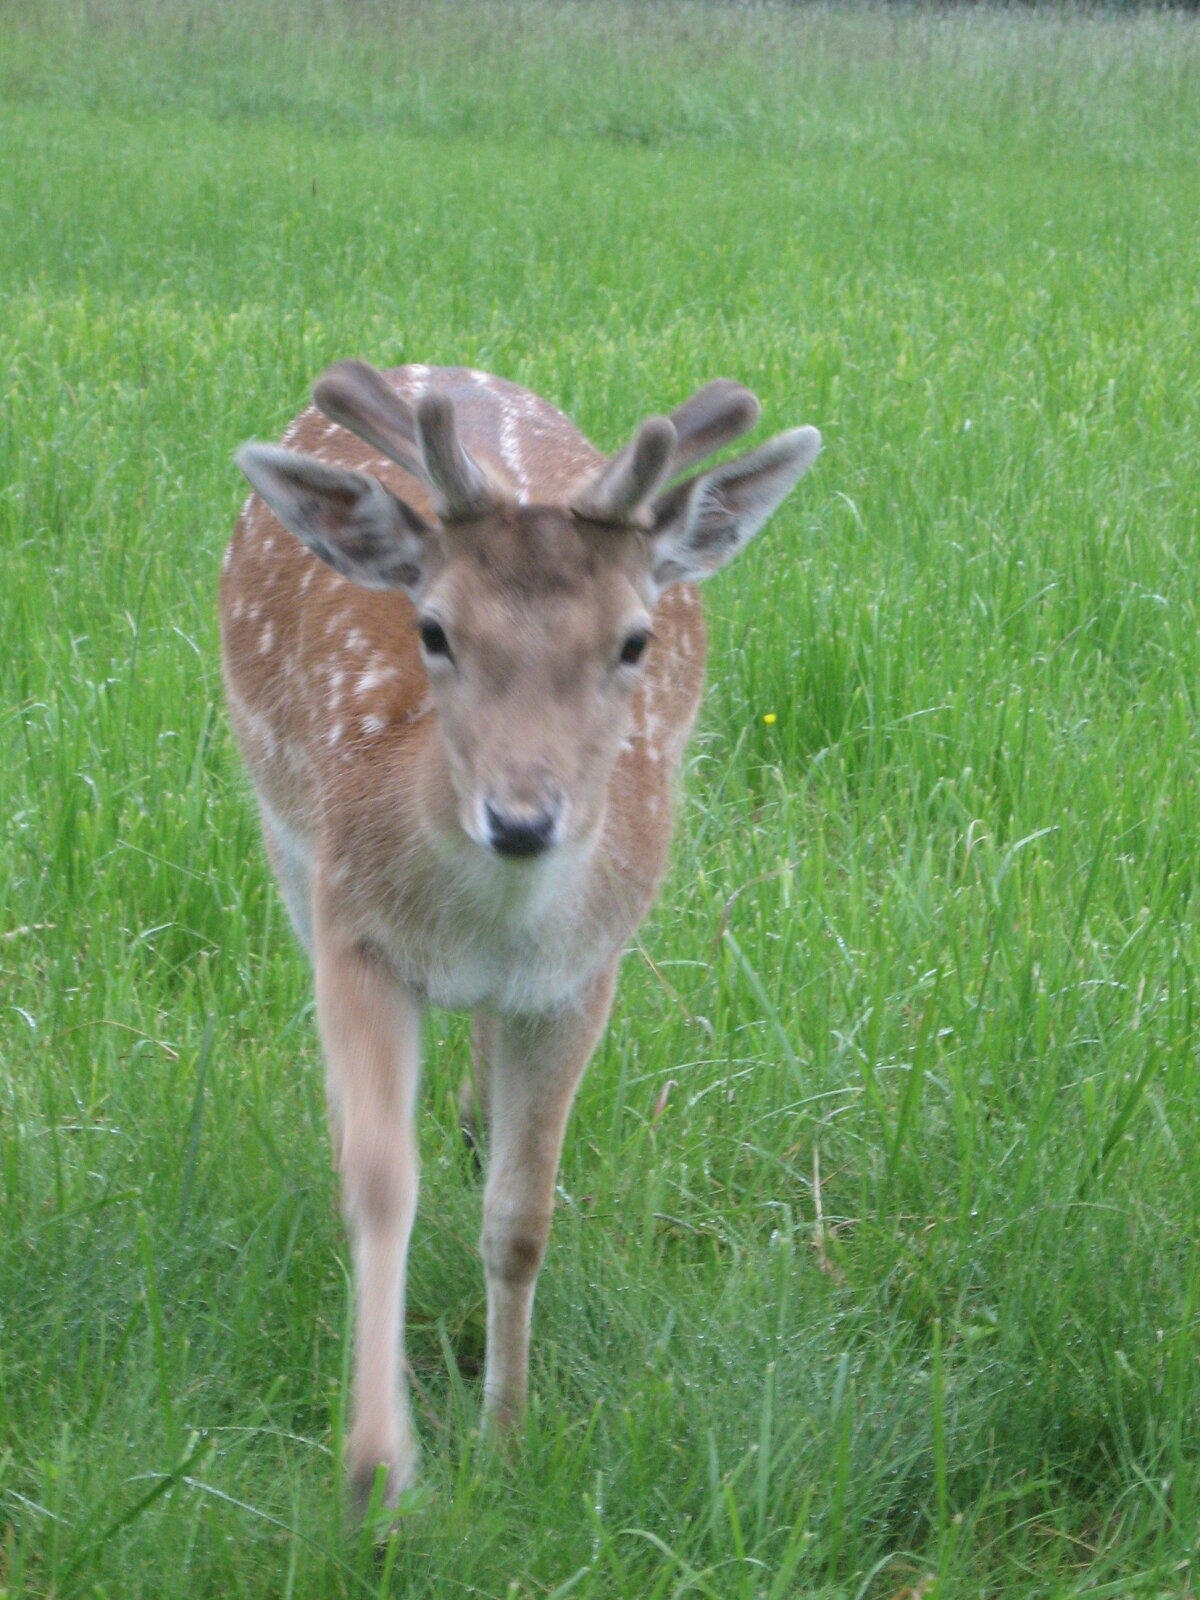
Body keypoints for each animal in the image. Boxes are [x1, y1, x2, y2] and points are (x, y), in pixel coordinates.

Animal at [220, 356, 825, 1504]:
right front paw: (376, 1466)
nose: (521, 818)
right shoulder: (354, 928)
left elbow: (521, 1219)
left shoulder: (585, 971)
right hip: (285, 838)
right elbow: (381, 1182)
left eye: (632, 639)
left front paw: (506, 1437)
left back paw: (472, 1115)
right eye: (434, 630)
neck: (485, 922)